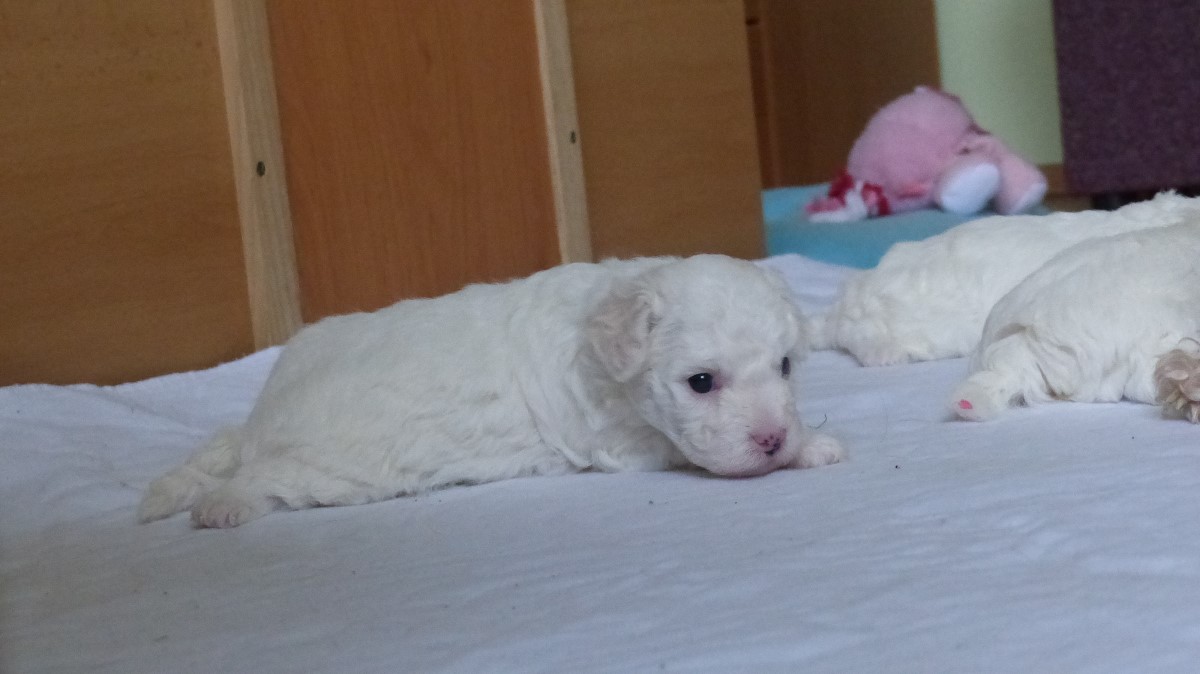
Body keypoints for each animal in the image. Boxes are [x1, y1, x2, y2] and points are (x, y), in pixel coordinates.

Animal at [138, 255, 844, 528]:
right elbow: (687, 451)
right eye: (701, 382)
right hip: (329, 469)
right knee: (262, 478)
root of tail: (262, 416)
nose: (772, 437)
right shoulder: (617, 437)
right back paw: (222, 507)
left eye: (785, 366)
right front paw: (812, 446)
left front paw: (804, 440)